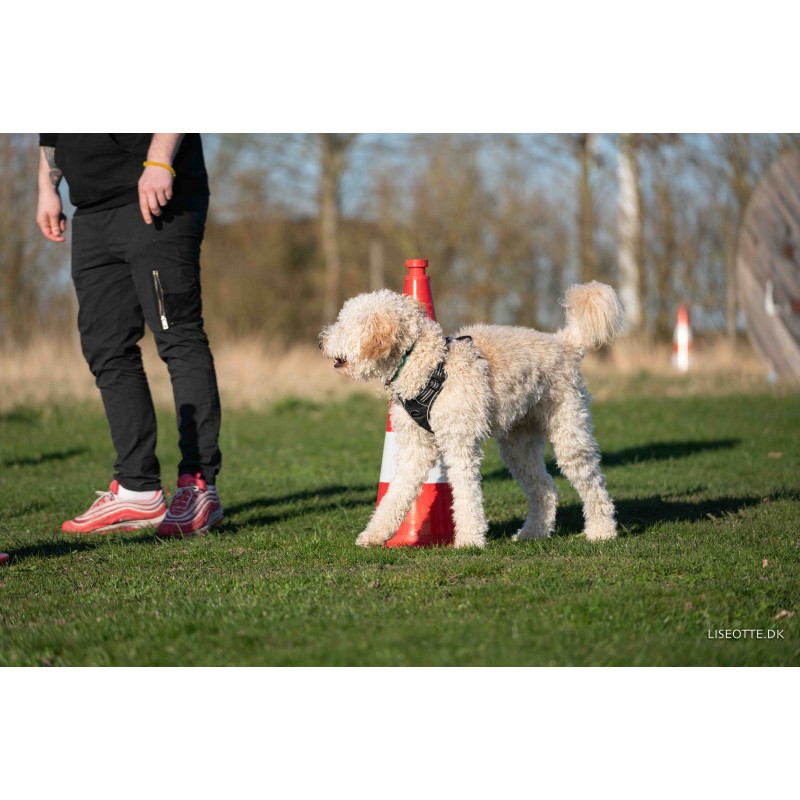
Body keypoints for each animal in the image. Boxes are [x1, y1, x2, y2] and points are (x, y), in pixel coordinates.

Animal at [320, 281, 625, 548]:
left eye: (344, 325)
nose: (321, 341)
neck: (426, 364)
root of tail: (566, 343)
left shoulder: (459, 443)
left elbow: (466, 493)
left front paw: (469, 540)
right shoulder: (415, 448)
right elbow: (396, 492)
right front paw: (375, 534)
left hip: (569, 433)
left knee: (593, 485)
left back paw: (602, 531)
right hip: (519, 446)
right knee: (545, 488)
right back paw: (533, 533)